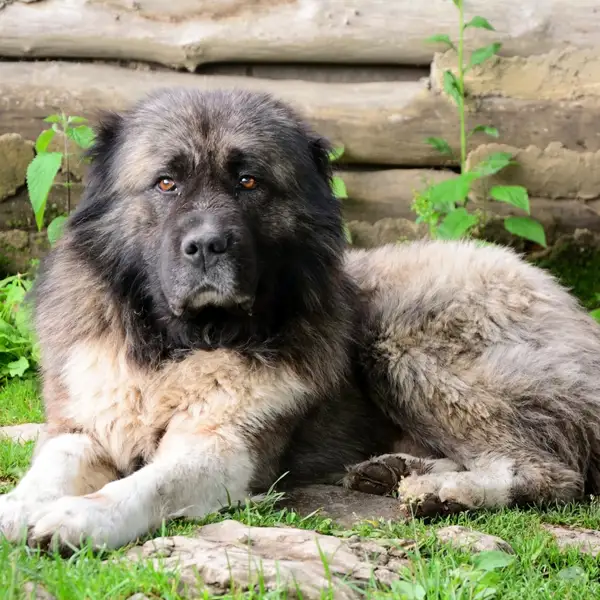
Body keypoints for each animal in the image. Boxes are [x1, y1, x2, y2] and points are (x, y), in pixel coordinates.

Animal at [1, 86, 600, 552]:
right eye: (166, 183)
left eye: (248, 182)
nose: (207, 246)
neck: (178, 348)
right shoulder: (83, 424)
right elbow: (50, 467)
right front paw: (15, 508)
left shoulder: (227, 449)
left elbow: (150, 485)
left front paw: (83, 517)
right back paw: (397, 470)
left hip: (405, 345)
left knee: (549, 471)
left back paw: (446, 492)